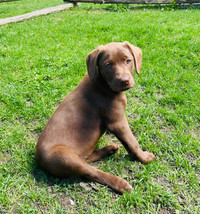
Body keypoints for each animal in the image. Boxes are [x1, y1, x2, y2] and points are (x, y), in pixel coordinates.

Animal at [36, 41, 156, 194]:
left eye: (128, 60)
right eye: (108, 65)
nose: (124, 81)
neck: (103, 83)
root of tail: (38, 158)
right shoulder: (118, 122)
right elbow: (132, 142)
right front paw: (144, 157)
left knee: (87, 159)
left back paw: (110, 149)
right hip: (65, 157)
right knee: (92, 172)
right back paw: (120, 183)